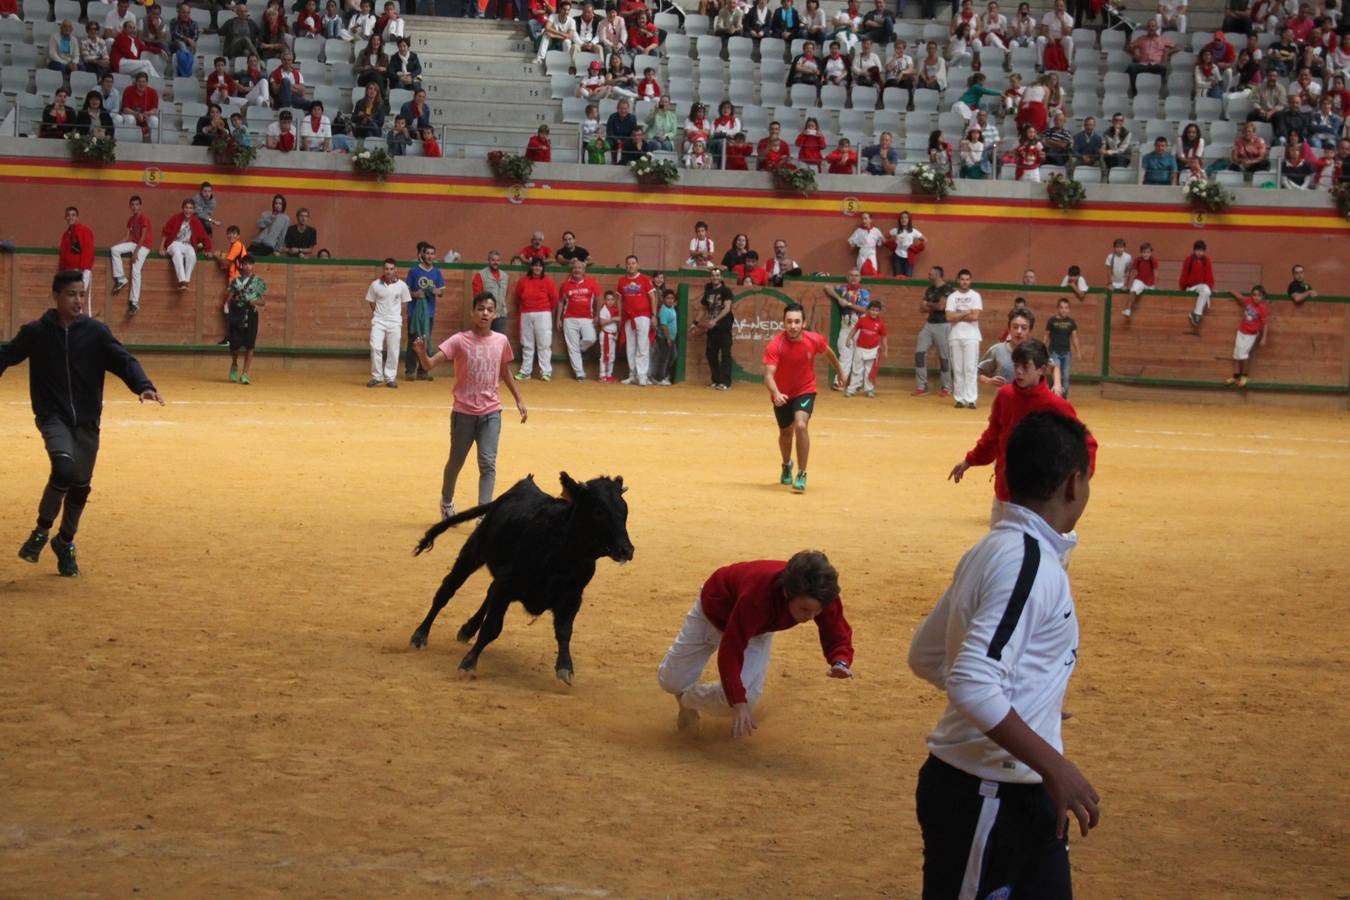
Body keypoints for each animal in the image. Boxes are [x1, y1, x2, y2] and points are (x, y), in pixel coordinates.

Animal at [407, 472, 634, 682]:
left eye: (624, 511)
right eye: (598, 511)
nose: (627, 550)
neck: (561, 552)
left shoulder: (572, 597)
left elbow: (564, 631)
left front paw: (565, 667)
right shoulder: (507, 586)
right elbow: (492, 627)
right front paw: (469, 662)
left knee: (488, 590)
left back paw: (468, 629)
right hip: (473, 553)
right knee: (446, 591)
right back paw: (420, 636)